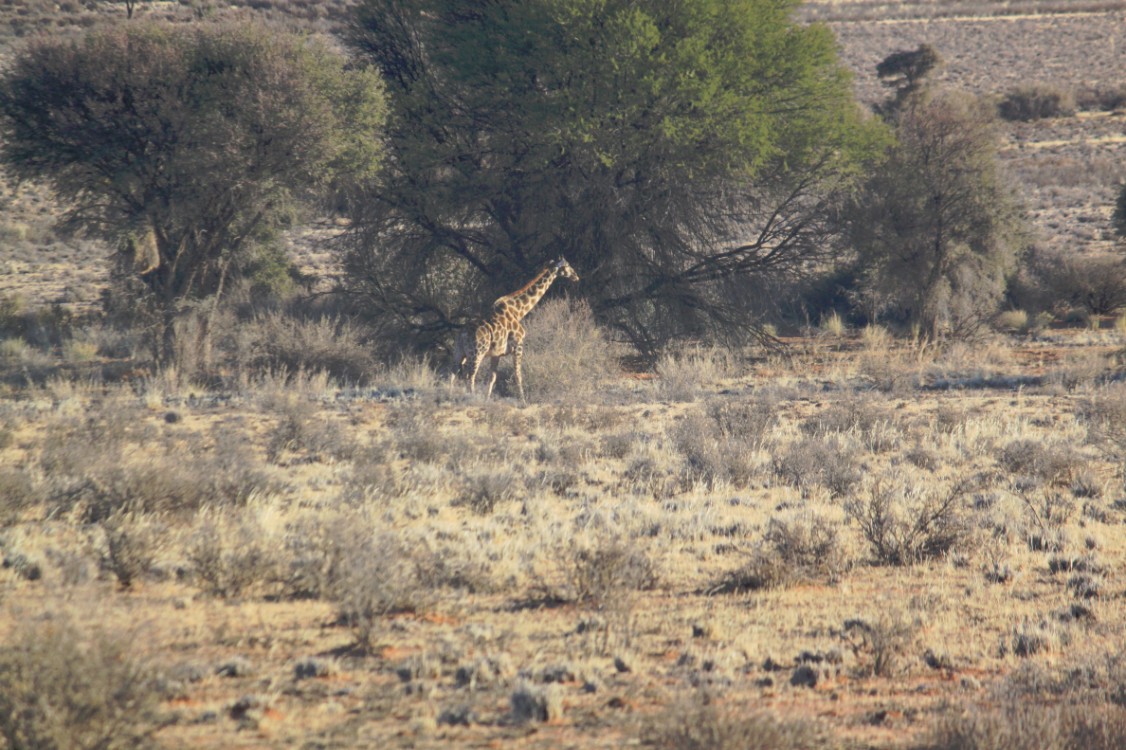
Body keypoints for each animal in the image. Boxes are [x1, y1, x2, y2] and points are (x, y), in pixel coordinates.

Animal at [454, 256, 585, 400]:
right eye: (567, 266)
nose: (576, 276)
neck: (518, 311)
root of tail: (462, 333)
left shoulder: (497, 353)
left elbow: (492, 377)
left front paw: (487, 399)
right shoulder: (518, 345)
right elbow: (518, 376)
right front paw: (523, 400)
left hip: (460, 351)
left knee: (453, 372)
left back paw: (450, 393)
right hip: (477, 352)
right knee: (470, 375)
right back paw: (471, 397)